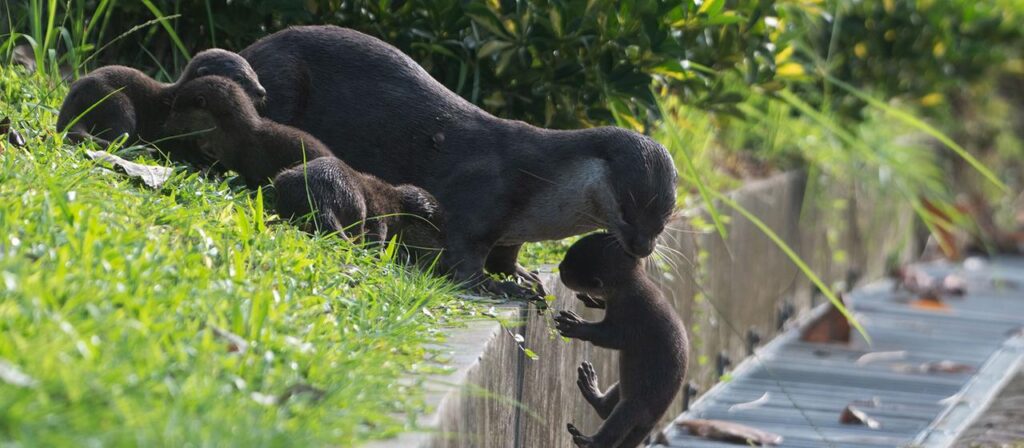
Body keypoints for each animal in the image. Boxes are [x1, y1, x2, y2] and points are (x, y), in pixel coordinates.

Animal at [273, 156, 444, 248]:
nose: (442, 251)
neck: (398, 205)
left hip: (284, 180)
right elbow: (378, 234)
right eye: (436, 231)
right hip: (358, 205)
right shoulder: (380, 213)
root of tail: (321, 197)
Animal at [553, 233, 689, 448]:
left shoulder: (632, 316)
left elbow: (611, 338)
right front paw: (595, 300)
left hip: (636, 404)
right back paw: (590, 386)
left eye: (567, 271)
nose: (558, 267)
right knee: (606, 407)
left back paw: (586, 440)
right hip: (623, 385)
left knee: (614, 424)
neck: (629, 289)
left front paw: (574, 325)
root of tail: (654, 421)